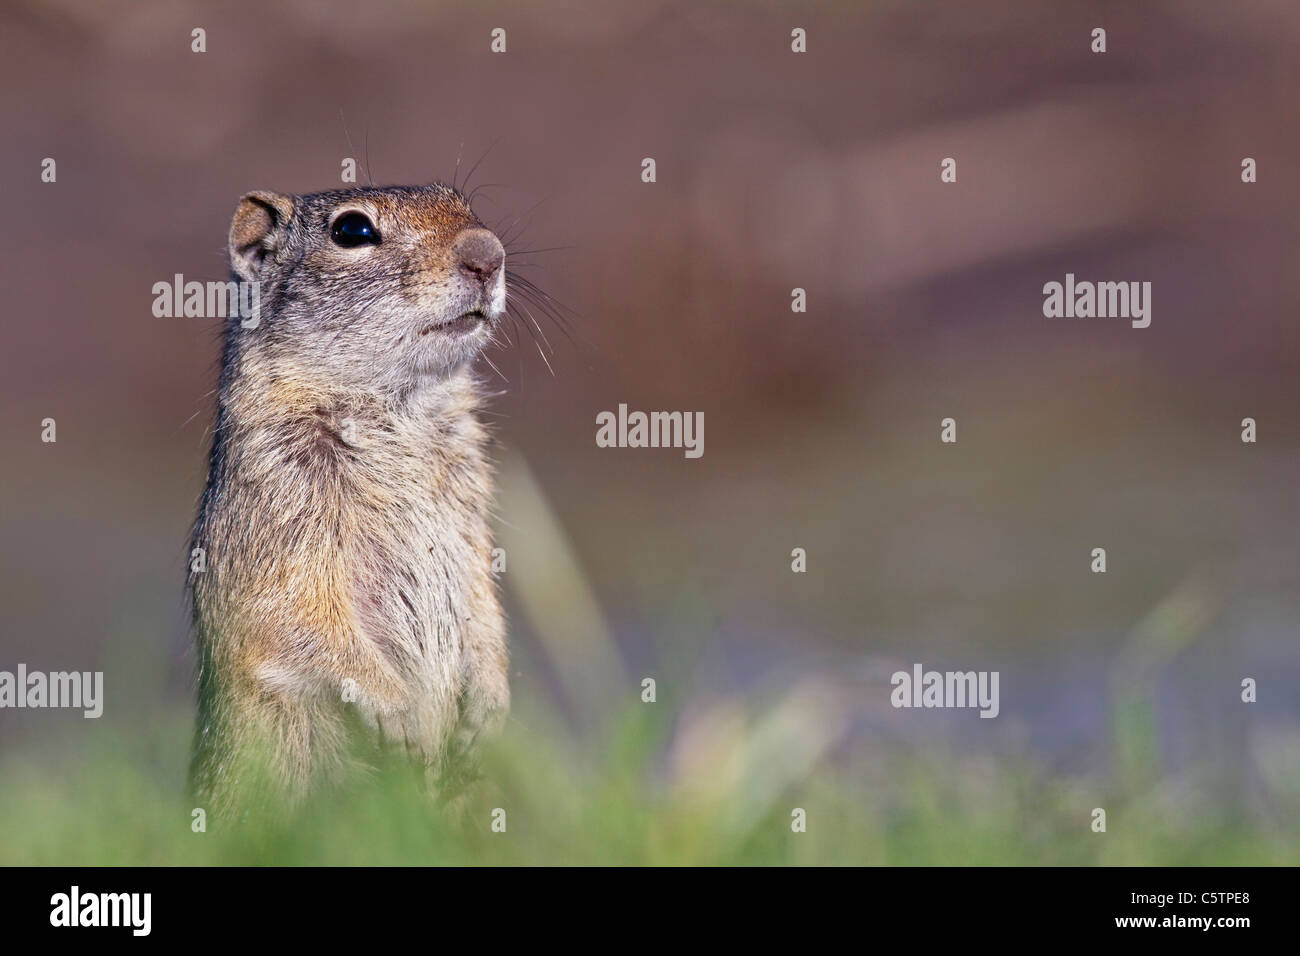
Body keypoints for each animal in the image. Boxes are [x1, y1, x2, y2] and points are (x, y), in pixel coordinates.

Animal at [189, 184, 509, 816]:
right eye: (352, 231)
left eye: (464, 203)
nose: (488, 254)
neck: (399, 413)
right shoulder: (279, 505)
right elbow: (295, 615)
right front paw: (399, 713)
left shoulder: (471, 511)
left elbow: (482, 600)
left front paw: (490, 709)